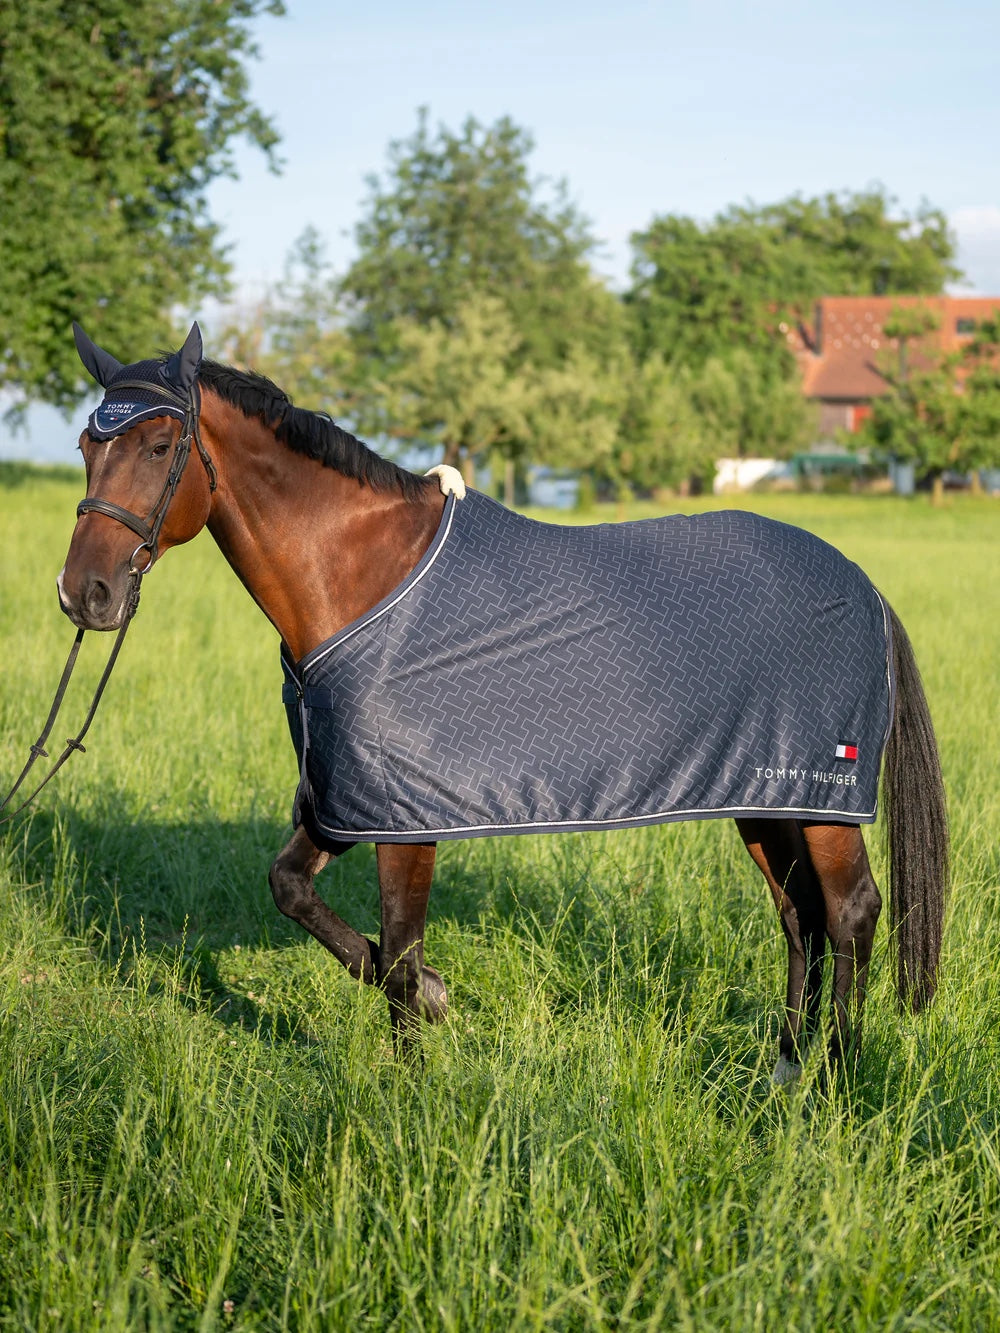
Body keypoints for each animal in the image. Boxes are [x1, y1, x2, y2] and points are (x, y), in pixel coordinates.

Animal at [56, 322, 948, 1078]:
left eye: (161, 444)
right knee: (798, 913)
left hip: (825, 800)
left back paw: (834, 1076)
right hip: (766, 794)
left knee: (851, 911)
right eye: (86, 445)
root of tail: (865, 586)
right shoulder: (346, 794)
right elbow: (295, 891)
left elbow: (401, 951)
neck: (365, 577)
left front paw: (410, 1089)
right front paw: (436, 999)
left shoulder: (405, 816)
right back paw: (787, 1063)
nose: (84, 594)